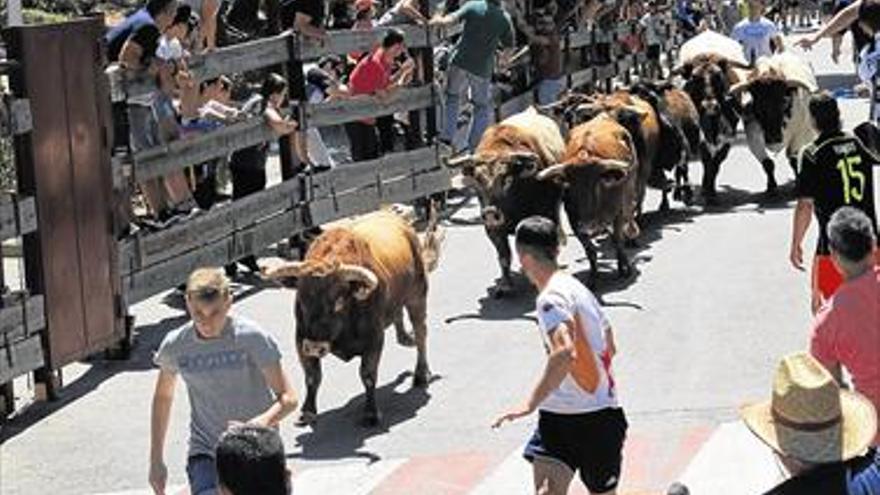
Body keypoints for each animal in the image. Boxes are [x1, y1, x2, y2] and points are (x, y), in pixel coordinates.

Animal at [260, 211, 440, 428]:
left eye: (338, 301)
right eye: (301, 298)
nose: (315, 347)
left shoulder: (374, 340)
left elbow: (368, 375)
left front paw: (370, 413)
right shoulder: (301, 338)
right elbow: (312, 377)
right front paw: (307, 411)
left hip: (417, 296)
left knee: (421, 332)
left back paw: (421, 373)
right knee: (399, 315)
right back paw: (405, 338)